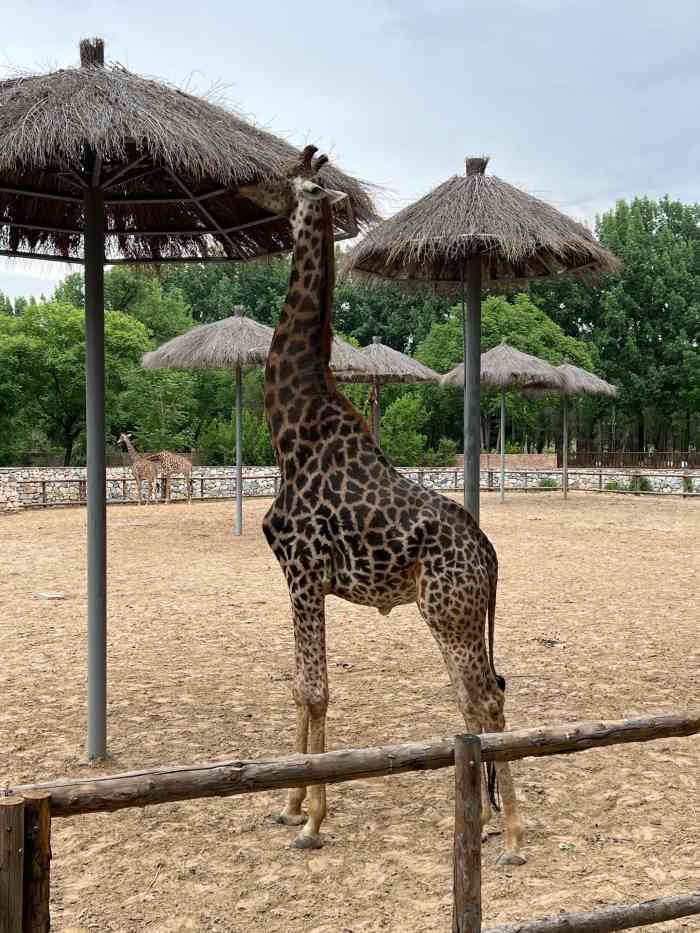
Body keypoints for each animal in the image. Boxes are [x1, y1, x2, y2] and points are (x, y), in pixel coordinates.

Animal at [238, 147, 524, 868]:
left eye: (282, 180)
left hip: (449, 614)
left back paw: (513, 833)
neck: (292, 426)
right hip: (453, 617)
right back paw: (484, 819)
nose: (248, 194)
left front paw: (313, 820)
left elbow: (316, 689)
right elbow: (299, 685)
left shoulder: (303, 572)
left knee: (487, 698)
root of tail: (491, 557)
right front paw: (288, 804)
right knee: (474, 699)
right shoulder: (297, 579)